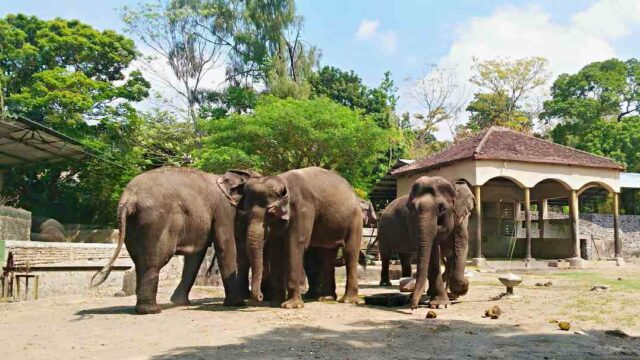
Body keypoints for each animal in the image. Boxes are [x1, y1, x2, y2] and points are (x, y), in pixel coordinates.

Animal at [90, 167, 260, 314]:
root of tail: (128, 198)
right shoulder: (223, 209)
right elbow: (225, 244)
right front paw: (237, 303)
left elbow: (196, 254)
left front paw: (180, 302)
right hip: (156, 221)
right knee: (154, 261)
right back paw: (151, 310)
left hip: (132, 225)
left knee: (139, 261)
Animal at [228, 167, 362, 308]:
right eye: (245, 211)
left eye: (270, 212)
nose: (260, 296)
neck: (282, 180)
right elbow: (277, 248)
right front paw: (275, 303)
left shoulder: (302, 209)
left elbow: (295, 245)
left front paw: (291, 305)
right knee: (328, 255)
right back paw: (326, 298)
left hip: (355, 219)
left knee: (350, 251)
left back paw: (348, 300)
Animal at [378, 177, 472, 310]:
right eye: (412, 208)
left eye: (442, 208)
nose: (413, 306)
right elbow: (433, 253)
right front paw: (440, 304)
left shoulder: (461, 219)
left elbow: (461, 245)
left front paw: (455, 293)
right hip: (383, 230)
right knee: (386, 254)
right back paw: (387, 283)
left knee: (405, 256)